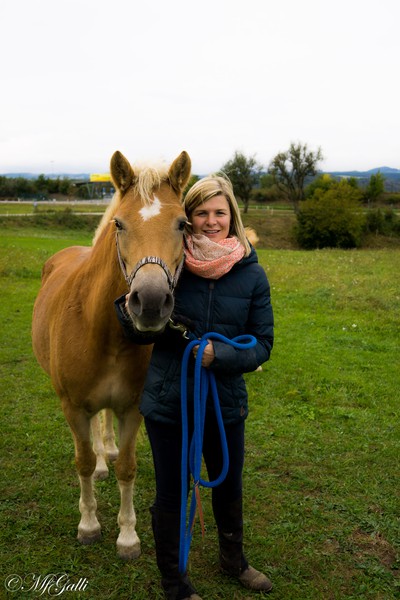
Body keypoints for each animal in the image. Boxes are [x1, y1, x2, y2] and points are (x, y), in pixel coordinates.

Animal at [32, 149, 191, 556]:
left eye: (183, 224)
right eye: (119, 223)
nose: (150, 302)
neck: (103, 331)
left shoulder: (132, 408)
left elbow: (128, 468)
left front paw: (128, 535)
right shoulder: (73, 407)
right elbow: (84, 462)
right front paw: (88, 524)